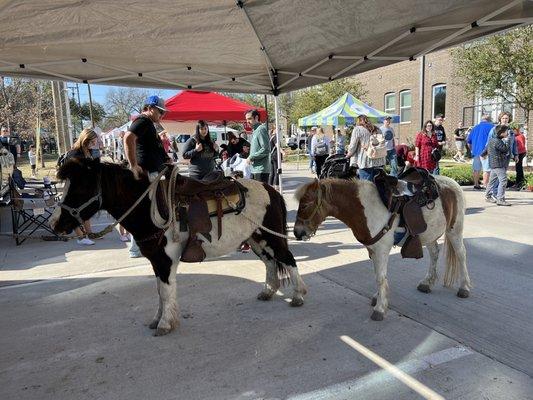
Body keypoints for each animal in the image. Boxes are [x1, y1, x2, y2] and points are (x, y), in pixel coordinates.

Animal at [51, 158, 308, 336]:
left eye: (80, 188)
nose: (55, 224)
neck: (151, 208)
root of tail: (271, 190)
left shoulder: (166, 261)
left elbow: (165, 291)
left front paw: (165, 324)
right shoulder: (156, 261)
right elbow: (159, 291)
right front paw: (158, 319)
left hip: (271, 237)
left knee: (287, 259)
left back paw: (298, 296)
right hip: (256, 238)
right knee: (270, 262)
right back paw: (268, 291)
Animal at [294, 178, 472, 322]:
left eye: (305, 204)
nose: (297, 232)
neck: (366, 209)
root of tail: (453, 184)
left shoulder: (381, 250)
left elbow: (380, 278)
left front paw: (379, 309)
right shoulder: (373, 250)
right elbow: (377, 276)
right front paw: (378, 298)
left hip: (454, 230)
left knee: (461, 255)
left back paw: (464, 287)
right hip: (430, 235)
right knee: (434, 254)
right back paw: (426, 283)